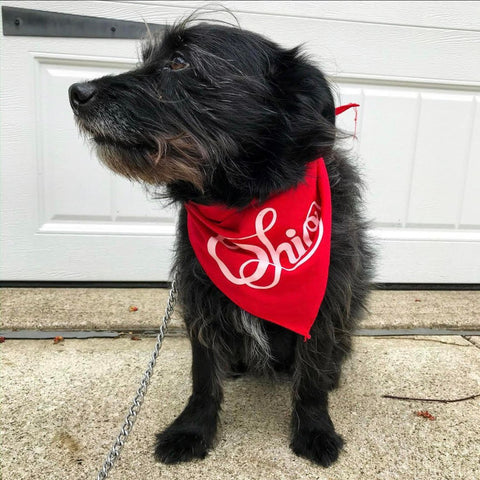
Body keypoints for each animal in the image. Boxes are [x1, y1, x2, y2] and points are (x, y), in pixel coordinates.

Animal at [67, 15, 376, 468]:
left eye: (179, 62)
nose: (76, 92)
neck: (244, 202)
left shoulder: (324, 302)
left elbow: (311, 380)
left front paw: (315, 429)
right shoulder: (201, 296)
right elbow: (203, 377)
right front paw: (192, 430)